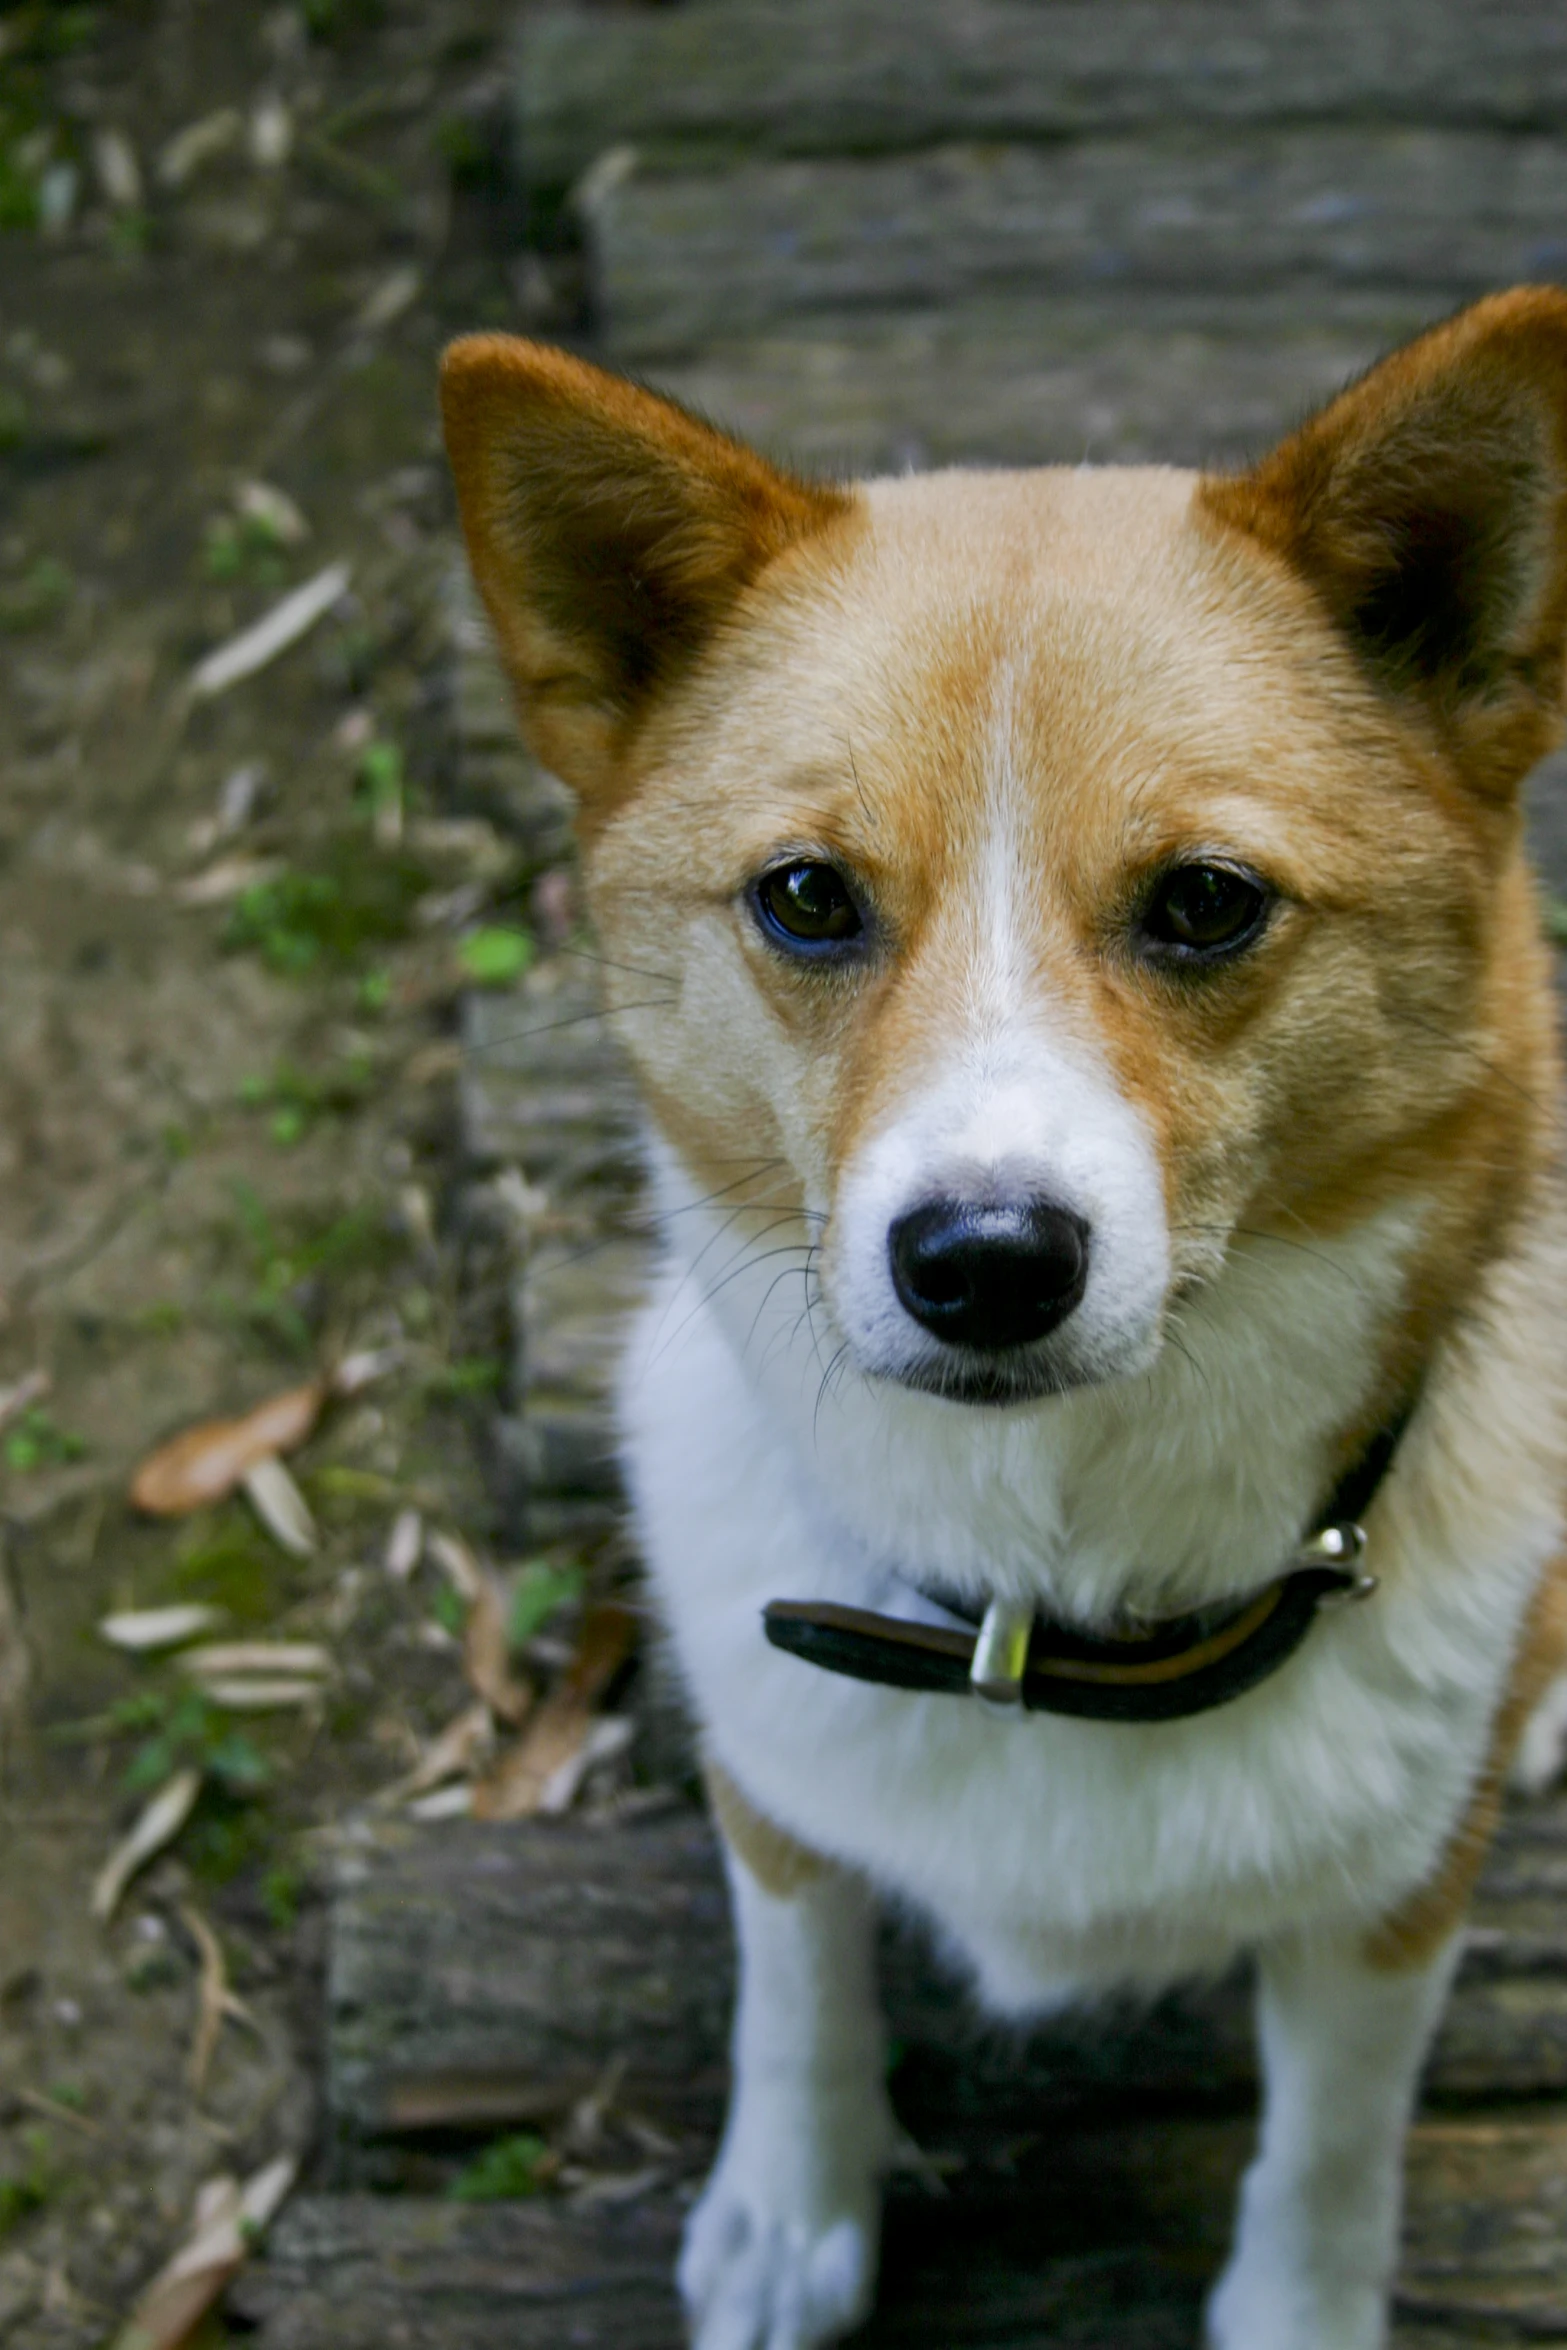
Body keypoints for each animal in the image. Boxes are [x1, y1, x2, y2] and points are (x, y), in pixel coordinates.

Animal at [439, 293, 1567, 2350]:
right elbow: (797, 1982)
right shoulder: (774, 1789)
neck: (1048, 1606)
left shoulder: (1383, 1924)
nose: (979, 1261)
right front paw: (787, 2214)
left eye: (1204, 903)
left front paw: (1297, 2309)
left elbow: (1331, 2146)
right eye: (807, 897)